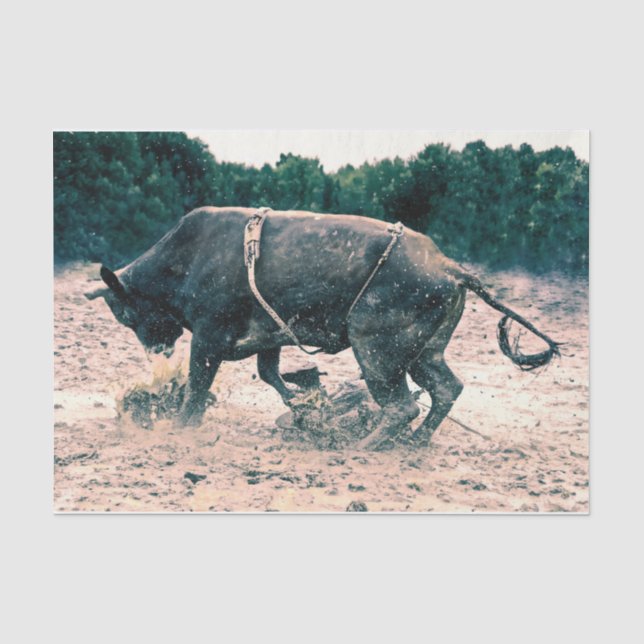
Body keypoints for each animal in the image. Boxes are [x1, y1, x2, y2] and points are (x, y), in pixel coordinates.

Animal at [85, 206, 560, 450]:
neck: (188, 257)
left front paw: (181, 425)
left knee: (401, 406)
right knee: (445, 389)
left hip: (376, 350)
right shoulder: (270, 337)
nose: (157, 351)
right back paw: (414, 442)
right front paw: (305, 404)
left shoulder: (208, 337)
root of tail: (448, 266)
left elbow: (198, 387)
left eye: (126, 314)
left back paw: (362, 446)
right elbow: (270, 374)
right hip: (423, 353)